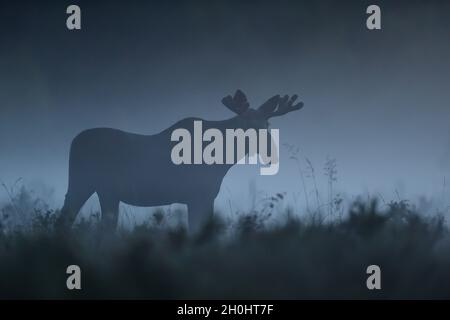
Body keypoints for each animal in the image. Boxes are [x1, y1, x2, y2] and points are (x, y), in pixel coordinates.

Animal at [55, 90, 302, 232]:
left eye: (267, 125)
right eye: (246, 126)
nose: (271, 152)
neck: (222, 159)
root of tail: (73, 141)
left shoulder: (204, 197)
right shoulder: (197, 196)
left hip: (107, 192)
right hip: (82, 182)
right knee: (66, 216)